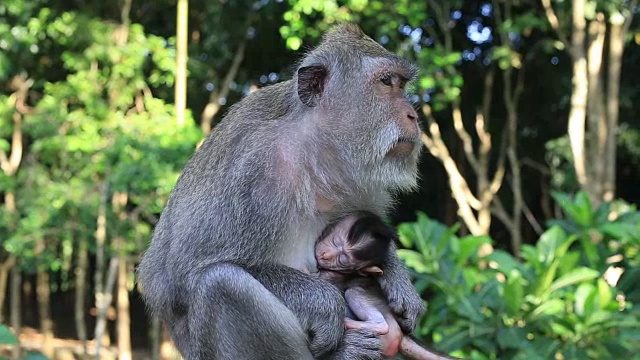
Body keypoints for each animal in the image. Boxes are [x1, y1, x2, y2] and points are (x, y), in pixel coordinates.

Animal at [136, 23, 424, 360]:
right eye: (387, 82)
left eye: (402, 84)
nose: (413, 116)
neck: (314, 151)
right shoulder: (253, 169)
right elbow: (180, 274)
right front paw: (325, 303)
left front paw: (396, 276)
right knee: (220, 284)